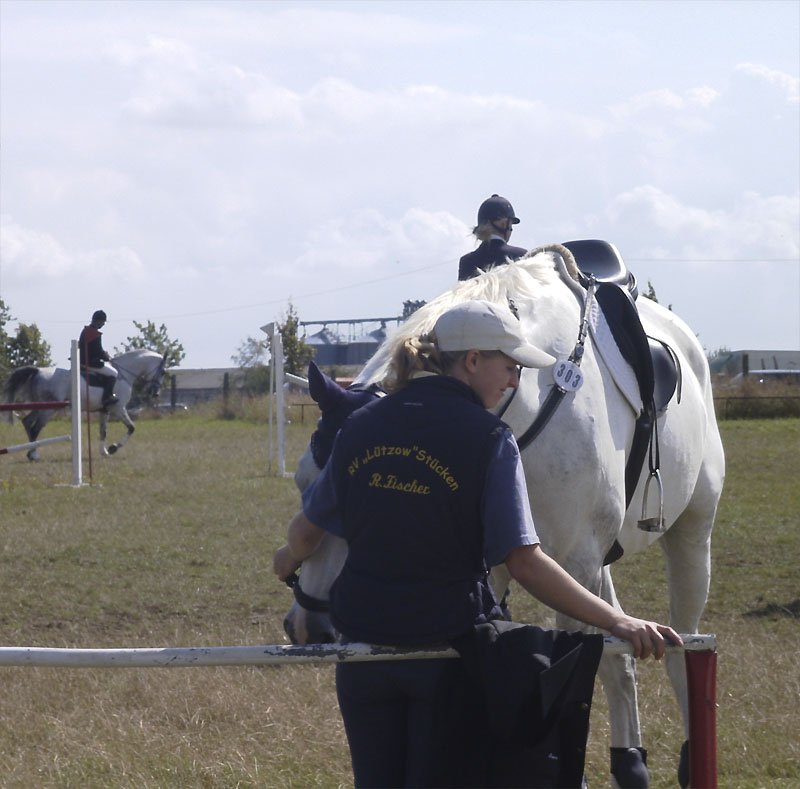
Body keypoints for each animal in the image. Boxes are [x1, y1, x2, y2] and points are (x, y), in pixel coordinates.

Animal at [5, 348, 169, 458]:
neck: (123, 374)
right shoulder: (118, 407)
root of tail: (38, 371)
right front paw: (113, 448)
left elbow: (103, 431)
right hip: (49, 409)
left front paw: (104, 452)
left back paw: (31, 451)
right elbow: (131, 427)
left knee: (27, 422)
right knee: (35, 428)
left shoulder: (105, 410)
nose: (155, 393)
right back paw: (34, 454)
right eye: (163, 372)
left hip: (41, 406)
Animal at [286, 245, 724, 780]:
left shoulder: (575, 560)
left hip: (690, 536)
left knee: (682, 645)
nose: (308, 629)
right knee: (621, 661)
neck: (531, 396)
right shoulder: (513, 567)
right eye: (304, 481)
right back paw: (631, 765)